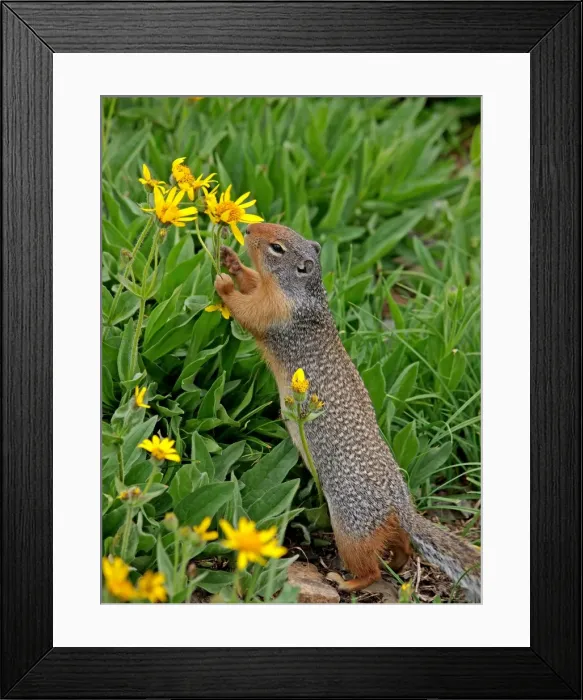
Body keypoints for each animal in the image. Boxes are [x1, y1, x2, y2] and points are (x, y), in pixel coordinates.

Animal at [214, 222, 481, 602]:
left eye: (278, 247)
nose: (248, 228)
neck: (304, 295)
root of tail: (400, 507)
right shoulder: (269, 293)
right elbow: (252, 282)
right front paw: (232, 262)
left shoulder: (276, 313)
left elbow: (247, 311)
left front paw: (224, 283)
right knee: (403, 547)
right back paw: (397, 564)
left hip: (351, 529)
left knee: (369, 567)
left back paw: (348, 581)